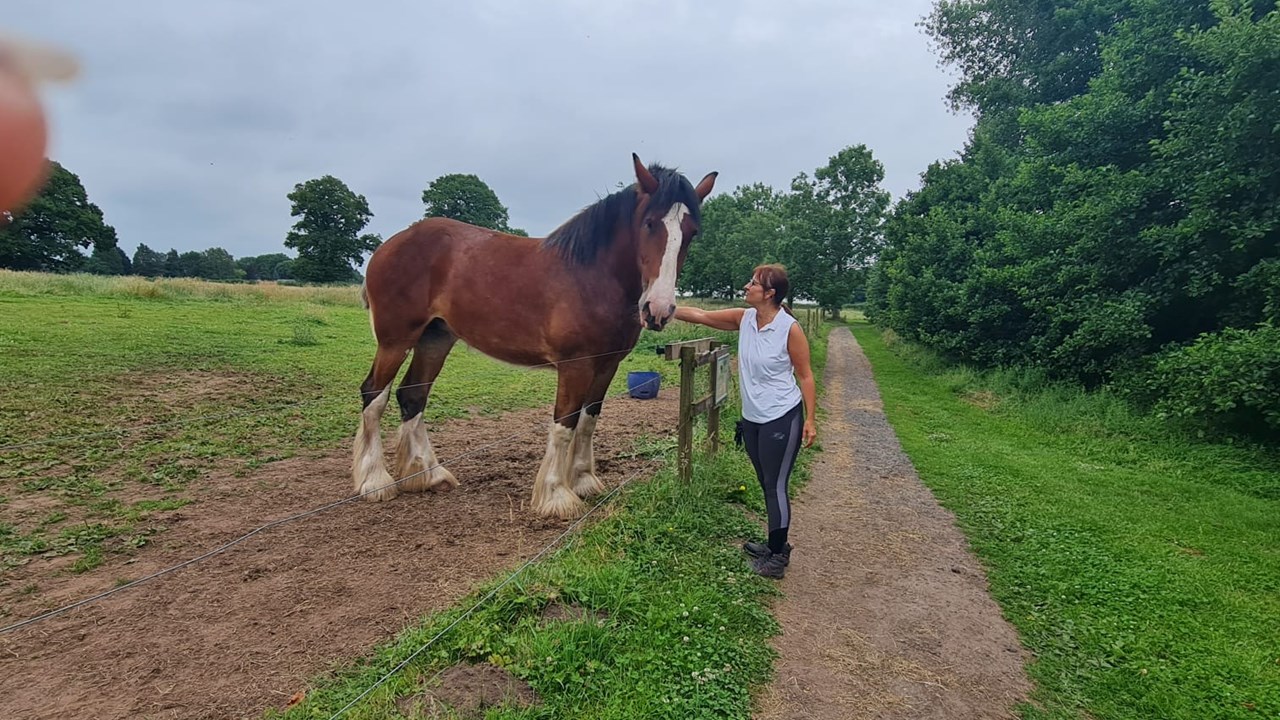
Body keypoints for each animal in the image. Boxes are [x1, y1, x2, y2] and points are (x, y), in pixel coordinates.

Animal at [352, 154, 717, 519]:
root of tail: (391, 244)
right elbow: (565, 423)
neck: (593, 277)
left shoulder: (607, 365)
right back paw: (374, 481)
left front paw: (584, 480)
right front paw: (556, 496)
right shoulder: (575, 365)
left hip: (435, 339)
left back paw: (428, 474)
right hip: (395, 340)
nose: (658, 309)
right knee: (374, 395)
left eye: (692, 232)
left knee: (413, 396)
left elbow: (588, 420)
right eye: (650, 223)